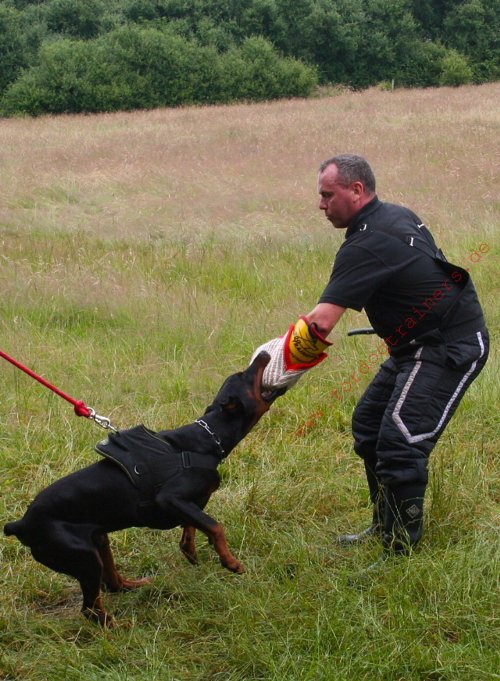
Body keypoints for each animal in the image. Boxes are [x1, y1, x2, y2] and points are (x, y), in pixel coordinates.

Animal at [3, 354, 284, 624]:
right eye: (244, 374)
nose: (263, 353)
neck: (206, 439)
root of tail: (21, 524)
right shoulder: (168, 498)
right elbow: (215, 526)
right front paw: (230, 562)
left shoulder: (188, 503)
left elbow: (194, 525)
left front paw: (191, 551)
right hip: (83, 556)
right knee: (90, 609)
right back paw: (117, 628)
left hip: (98, 541)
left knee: (113, 584)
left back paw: (136, 585)